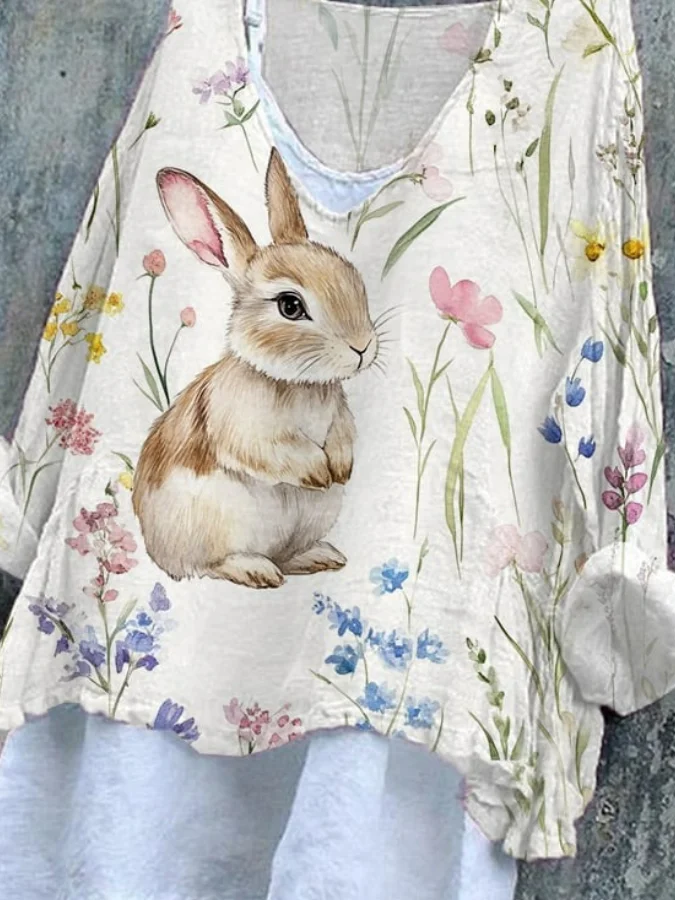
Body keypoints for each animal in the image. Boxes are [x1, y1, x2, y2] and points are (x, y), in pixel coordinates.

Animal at [132, 148, 379, 589]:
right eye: (290, 306)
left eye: (353, 278)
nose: (362, 347)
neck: (297, 382)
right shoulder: (242, 426)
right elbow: (270, 451)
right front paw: (319, 473)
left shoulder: (340, 416)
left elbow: (341, 437)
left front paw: (339, 469)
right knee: (209, 565)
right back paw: (256, 570)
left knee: (289, 555)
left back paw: (319, 556)